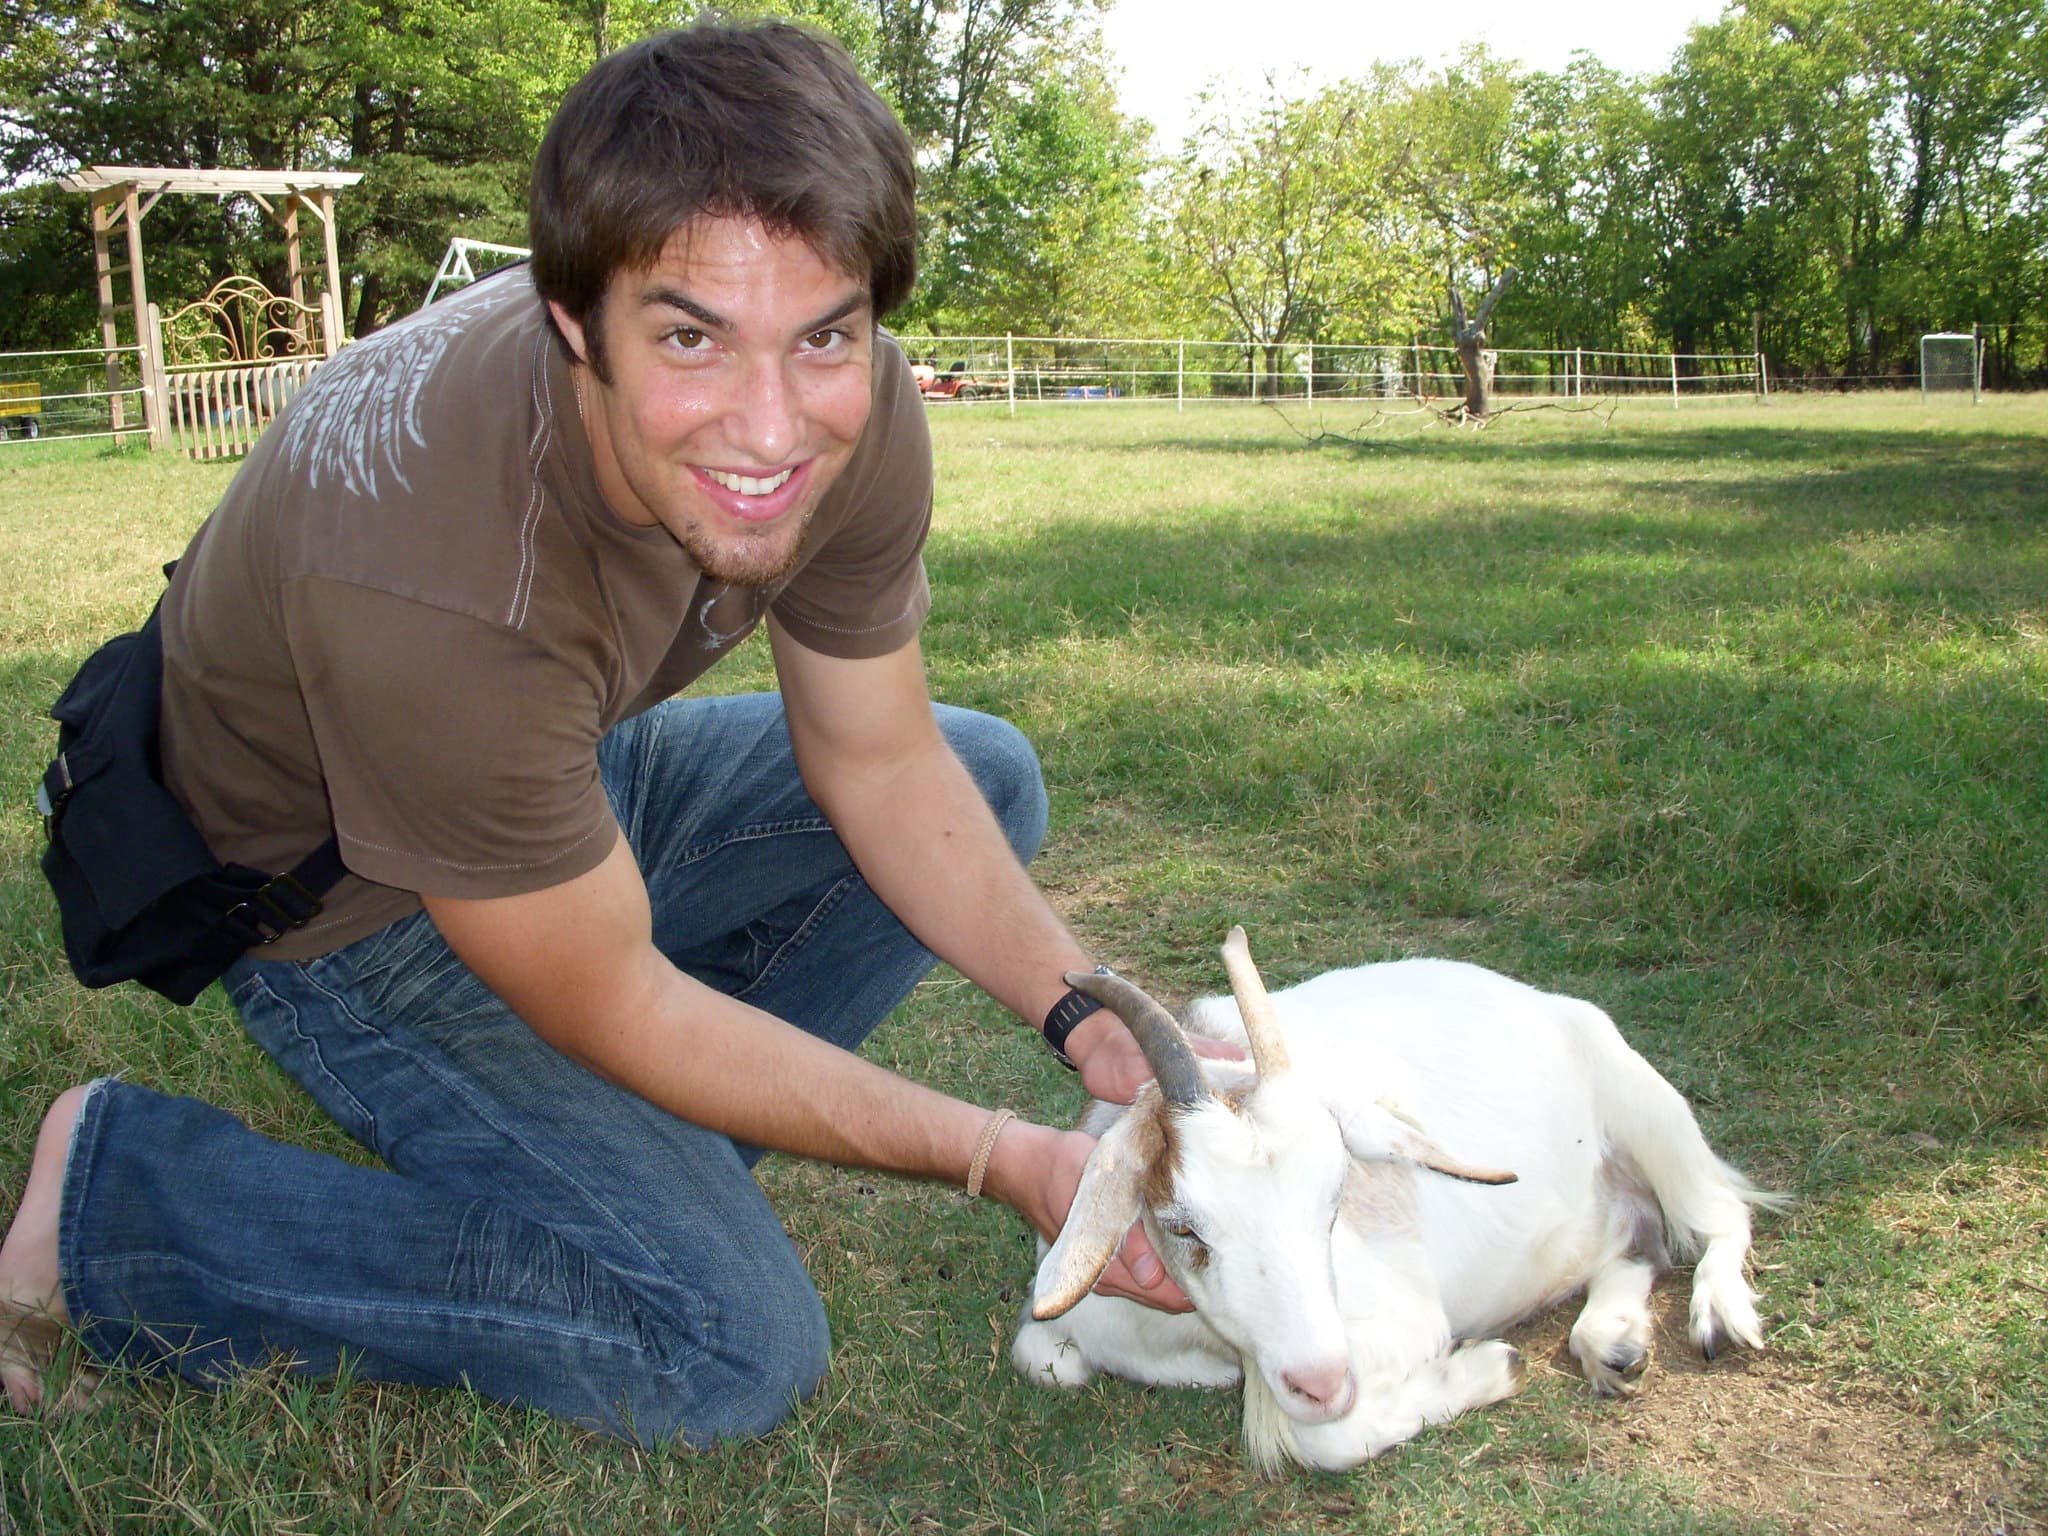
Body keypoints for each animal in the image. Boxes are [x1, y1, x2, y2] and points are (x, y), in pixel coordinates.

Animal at [1012, 928, 1775, 1473]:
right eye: (1182, 1227)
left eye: (1335, 1202)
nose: (1321, 1382)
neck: (1190, 1341)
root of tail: (1537, 999)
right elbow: (1043, 1361)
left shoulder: (1398, 1326)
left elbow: (1320, 1441)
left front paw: (1493, 1367)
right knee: (1638, 1242)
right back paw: (1613, 1342)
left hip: (1650, 1109)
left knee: (1719, 1214)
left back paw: (1718, 1315)